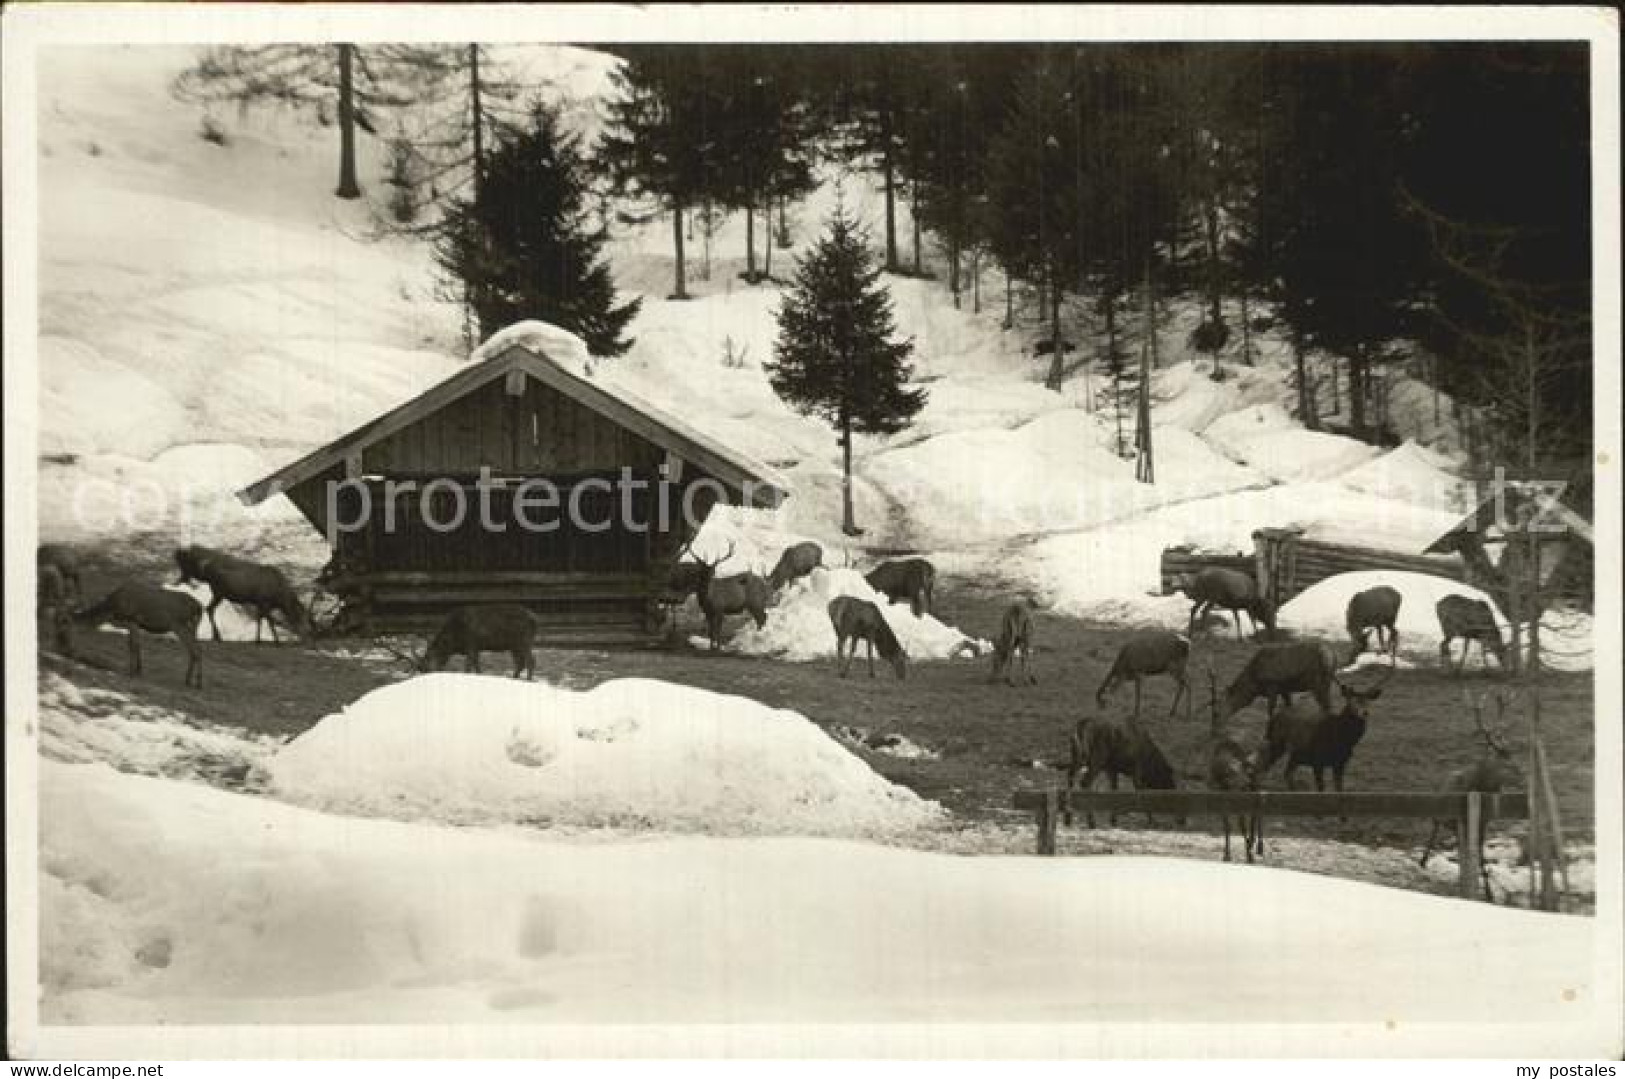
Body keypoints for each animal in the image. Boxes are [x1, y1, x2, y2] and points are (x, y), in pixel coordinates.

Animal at [73, 585, 202, 685]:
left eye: (73, 624)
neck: (111, 612)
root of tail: (199, 607)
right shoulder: (135, 624)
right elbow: (136, 644)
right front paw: (139, 671)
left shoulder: (132, 620)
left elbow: (132, 644)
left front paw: (131, 672)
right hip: (191, 627)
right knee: (197, 649)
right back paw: (193, 681)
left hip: (179, 624)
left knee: (194, 650)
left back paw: (194, 682)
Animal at [174, 542, 310, 643]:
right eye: (302, 619)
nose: (306, 639)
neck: (280, 598)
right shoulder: (263, 601)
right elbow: (269, 621)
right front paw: (276, 641)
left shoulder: (260, 603)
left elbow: (260, 619)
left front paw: (258, 640)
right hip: (219, 592)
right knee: (209, 608)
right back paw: (217, 636)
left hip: (218, 593)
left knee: (209, 608)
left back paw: (215, 636)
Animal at [1254, 653, 1397, 796]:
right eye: (1351, 701)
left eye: (1368, 701)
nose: (1364, 712)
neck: (1341, 741)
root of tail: (1274, 717)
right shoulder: (1317, 761)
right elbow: (1321, 788)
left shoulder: (1340, 763)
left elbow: (1339, 789)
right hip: (1276, 743)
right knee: (1263, 768)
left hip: (1295, 754)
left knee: (1286, 773)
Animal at [1423, 685, 1521, 897]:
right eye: (1505, 761)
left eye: (1513, 756)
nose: (1522, 774)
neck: (1480, 786)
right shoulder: (1467, 820)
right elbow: (1475, 856)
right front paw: (1487, 892)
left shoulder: (1483, 821)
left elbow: (1480, 854)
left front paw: (1489, 892)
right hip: (1439, 814)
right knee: (1433, 833)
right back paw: (1422, 862)